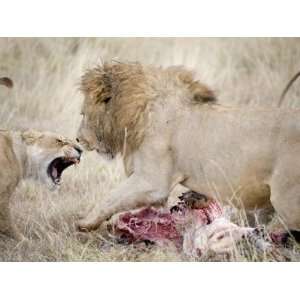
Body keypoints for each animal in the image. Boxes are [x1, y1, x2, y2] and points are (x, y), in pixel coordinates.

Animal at [76, 62, 300, 240]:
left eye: (83, 114)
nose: (78, 139)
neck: (138, 113)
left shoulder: (152, 181)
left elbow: (112, 197)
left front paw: (85, 223)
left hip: (287, 201)